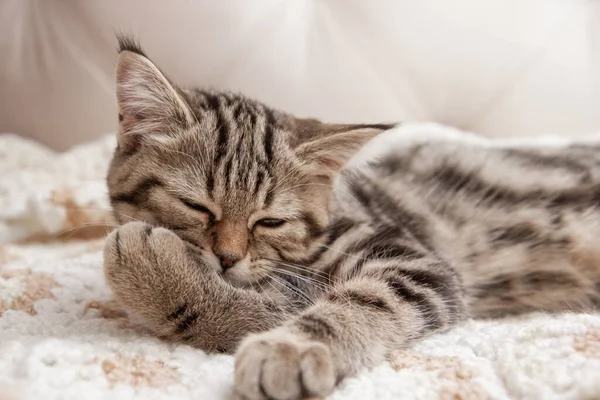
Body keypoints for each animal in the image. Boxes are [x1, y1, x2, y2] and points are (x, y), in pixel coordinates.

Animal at [104, 36, 600, 398]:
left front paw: (290, 347)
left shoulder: (420, 265)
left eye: (270, 221)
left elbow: (361, 300)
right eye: (197, 206)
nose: (226, 257)